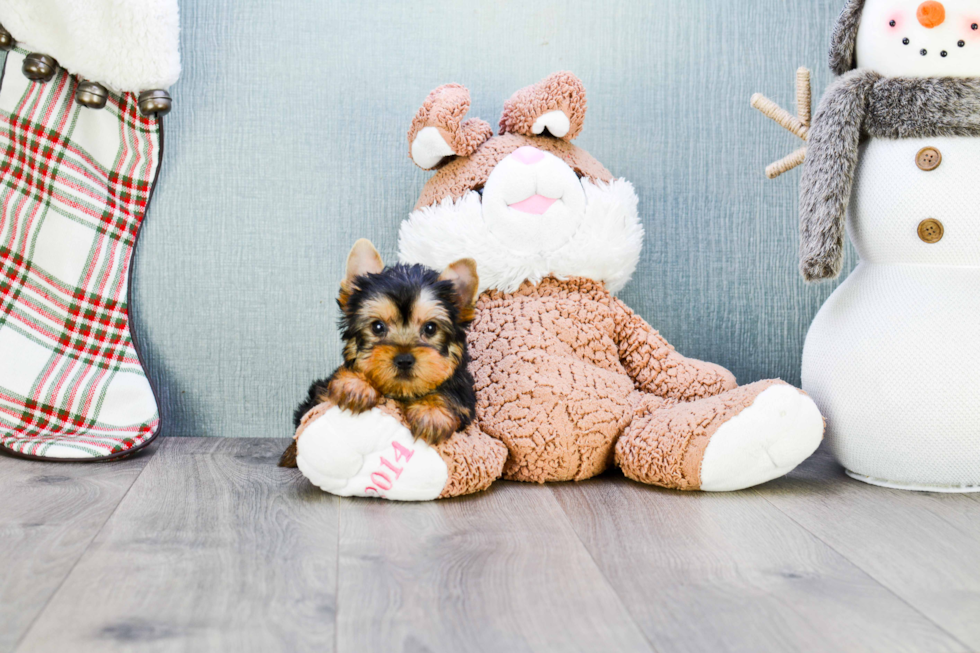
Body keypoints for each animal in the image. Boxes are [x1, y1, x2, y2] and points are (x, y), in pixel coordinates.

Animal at [280, 239, 478, 468]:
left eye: (430, 328)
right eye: (377, 327)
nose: (404, 359)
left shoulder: (465, 395)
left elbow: (453, 393)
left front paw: (432, 412)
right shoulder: (320, 393)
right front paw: (356, 384)